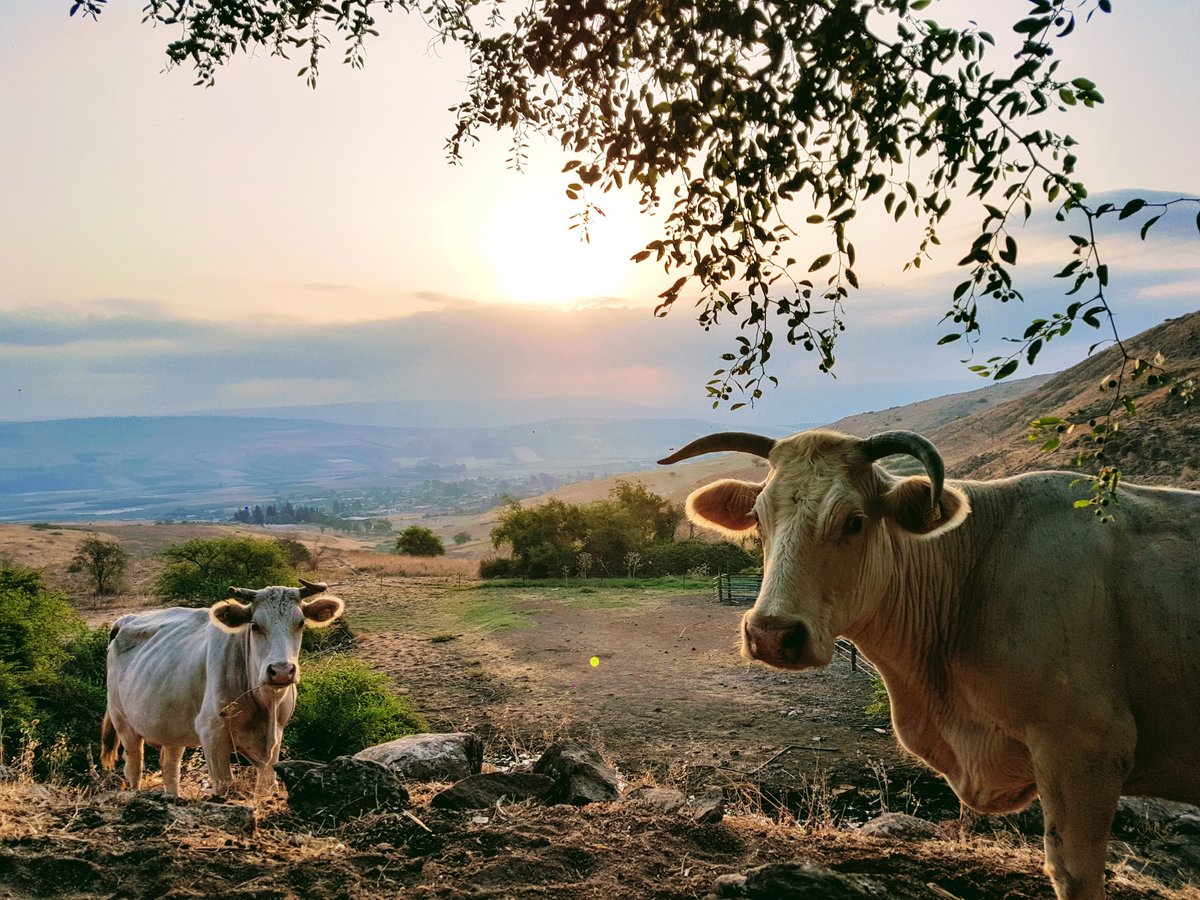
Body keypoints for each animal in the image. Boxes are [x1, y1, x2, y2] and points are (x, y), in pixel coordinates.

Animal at [100, 580, 345, 801]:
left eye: (301, 622)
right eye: (255, 625)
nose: (282, 670)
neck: (265, 704)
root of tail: (126, 619)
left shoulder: (276, 735)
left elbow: (266, 784)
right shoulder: (212, 732)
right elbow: (225, 784)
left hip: (172, 729)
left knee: (170, 767)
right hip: (123, 721)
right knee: (134, 766)